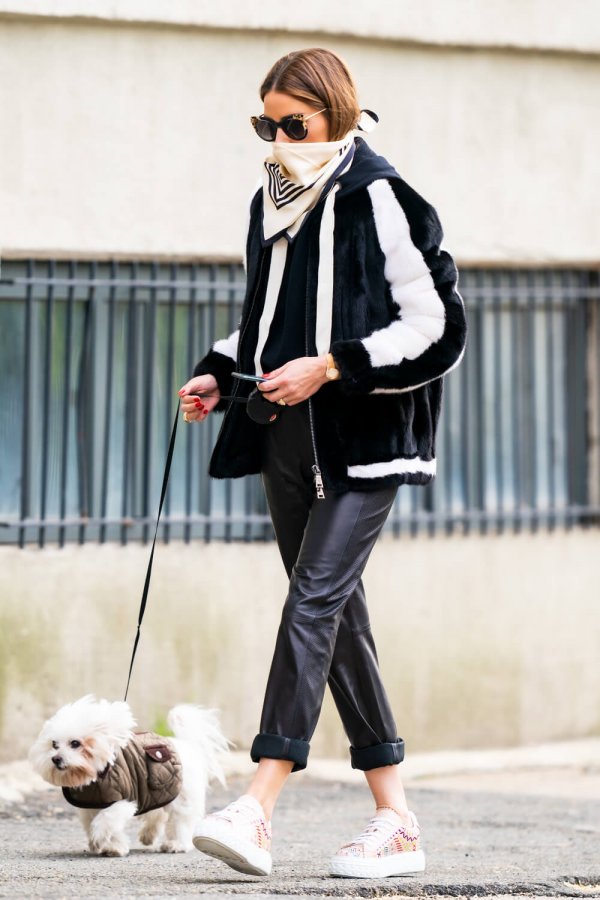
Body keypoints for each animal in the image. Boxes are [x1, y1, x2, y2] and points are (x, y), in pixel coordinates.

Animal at [28, 696, 231, 856]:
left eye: (75, 743)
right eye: (54, 744)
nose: (56, 759)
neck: (96, 777)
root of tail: (186, 744)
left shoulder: (122, 800)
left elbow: (106, 820)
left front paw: (100, 839)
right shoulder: (90, 807)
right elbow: (105, 825)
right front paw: (113, 846)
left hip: (181, 797)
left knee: (179, 821)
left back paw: (175, 844)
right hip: (155, 794)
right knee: (157, 815)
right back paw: (149, 835)